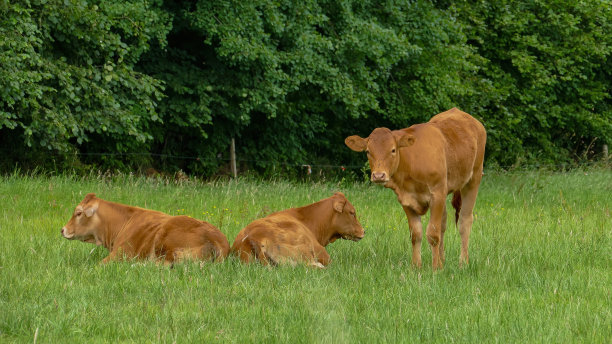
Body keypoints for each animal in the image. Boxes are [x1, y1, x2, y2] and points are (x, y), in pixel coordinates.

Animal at [346, 107, 486, 268]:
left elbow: (433, 233)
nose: (379, 175)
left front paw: (435, 267)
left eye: (393, 150)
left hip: (473, 179)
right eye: (368, 151)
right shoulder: (406, 199)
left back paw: (463, 262)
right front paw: (417, 266)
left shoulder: (437, 194)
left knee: (465, 221)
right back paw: (443, 260)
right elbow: (416, 234)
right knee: (443, 223)